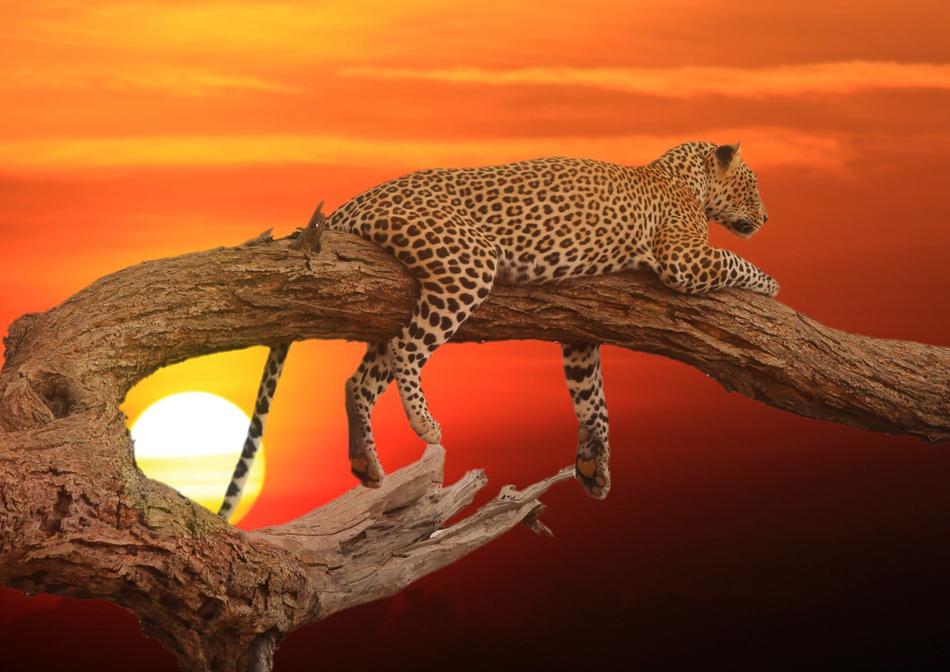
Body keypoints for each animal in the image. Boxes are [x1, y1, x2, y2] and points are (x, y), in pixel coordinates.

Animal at [217, 141, 777, 520]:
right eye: (752, 185)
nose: (768, 217)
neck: (683, 177)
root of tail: (356, 200)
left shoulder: (581, 334)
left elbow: (592, 398)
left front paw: (594, 466)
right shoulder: (685, 259)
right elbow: (735, 260)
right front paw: (771, 284)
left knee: (361, 378)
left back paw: (366, 463)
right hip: (467, 262)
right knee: (407, 350)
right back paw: (425, 425)